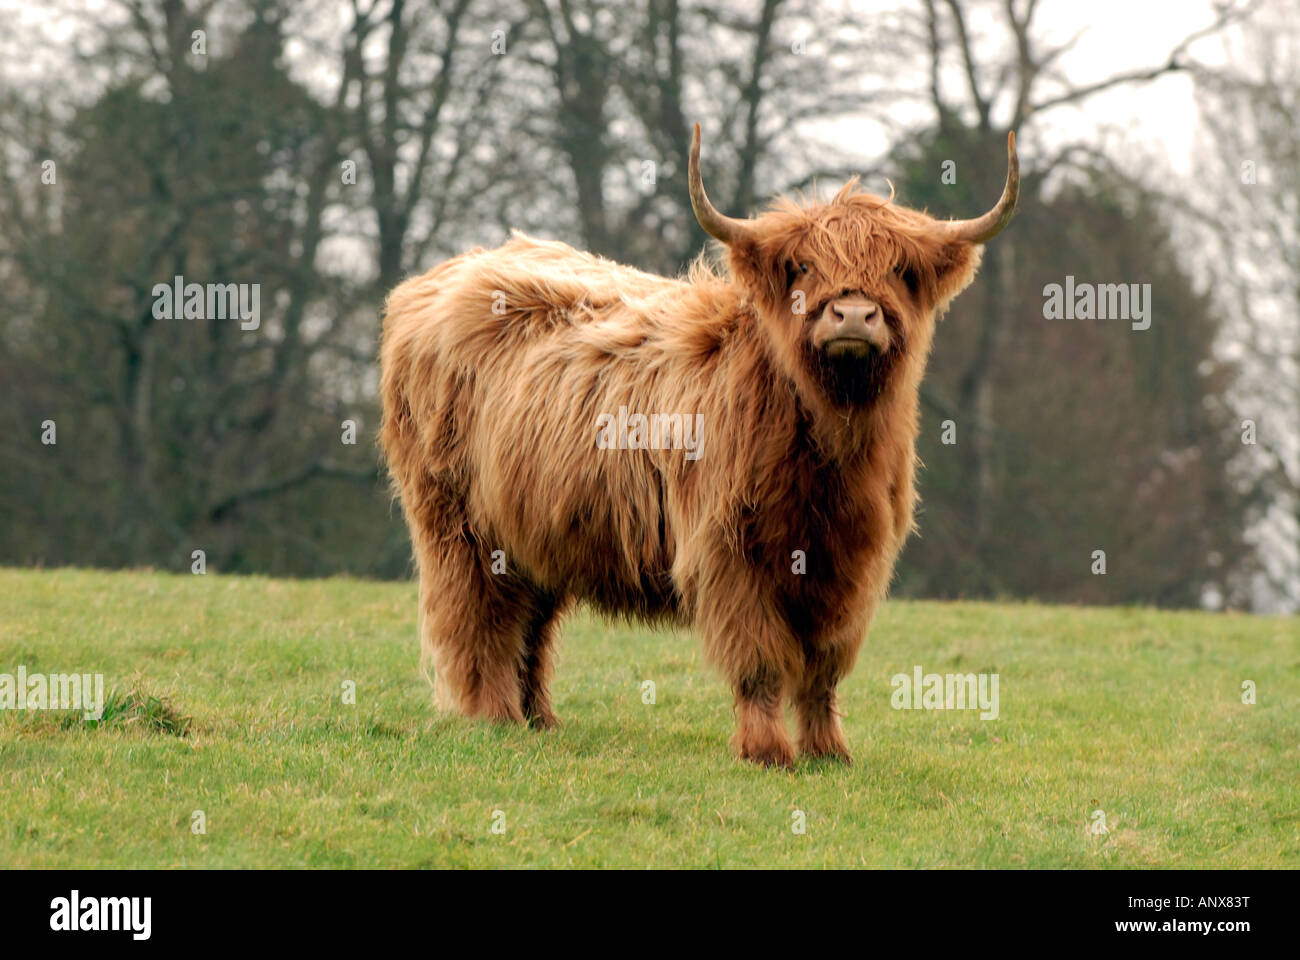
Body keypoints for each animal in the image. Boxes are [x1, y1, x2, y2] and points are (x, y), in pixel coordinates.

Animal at [379, 125, 1018, 767]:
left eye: (900, 270)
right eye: (803, 265)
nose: (854, 315)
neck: (825, 448)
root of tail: (434, 280)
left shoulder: (851, 560)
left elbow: (824, 667)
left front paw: (827, 750)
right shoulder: (728, 550)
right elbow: (760, 658)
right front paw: (766, 750)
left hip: (535, 527)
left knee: (530, 626)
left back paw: (540, 720)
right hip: (459, 524)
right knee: (482, 620)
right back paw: (496, 719)